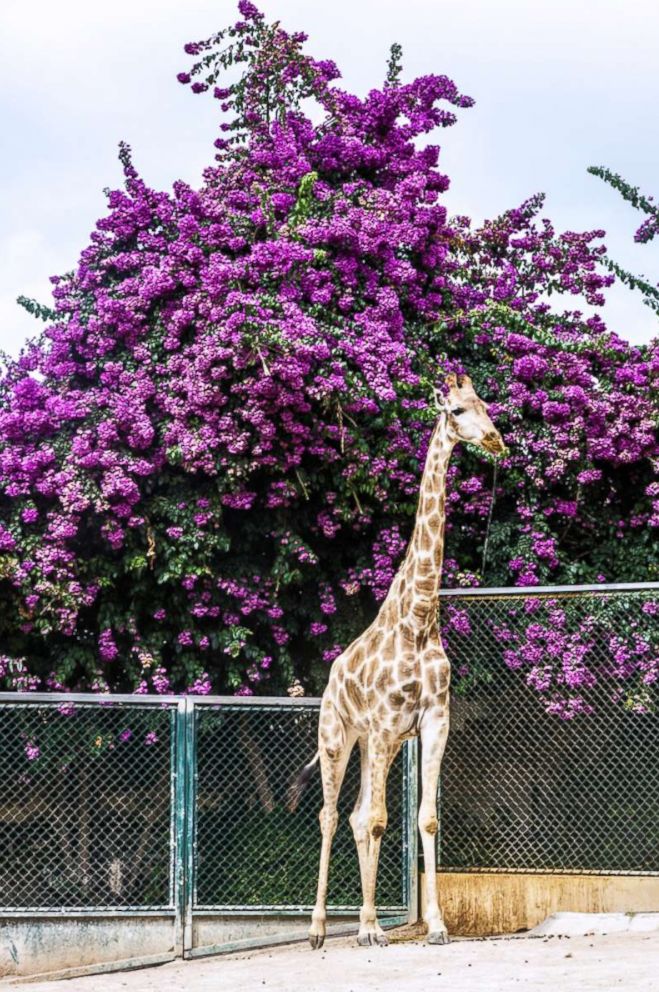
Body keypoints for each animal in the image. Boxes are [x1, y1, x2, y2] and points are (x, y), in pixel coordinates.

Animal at [292, 372, 506, 944]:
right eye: (456, 411)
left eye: (485, 405)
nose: (496, 440)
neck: (420, 618)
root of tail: (331, 677)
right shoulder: (389, 725)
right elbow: (380, 821)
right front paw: (370, 927)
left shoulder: (433, 721)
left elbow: (424, 818)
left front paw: (436, 925)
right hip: (338, 735)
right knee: (330, 815)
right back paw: (323, 929)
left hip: (371, 743)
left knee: (354, 815)